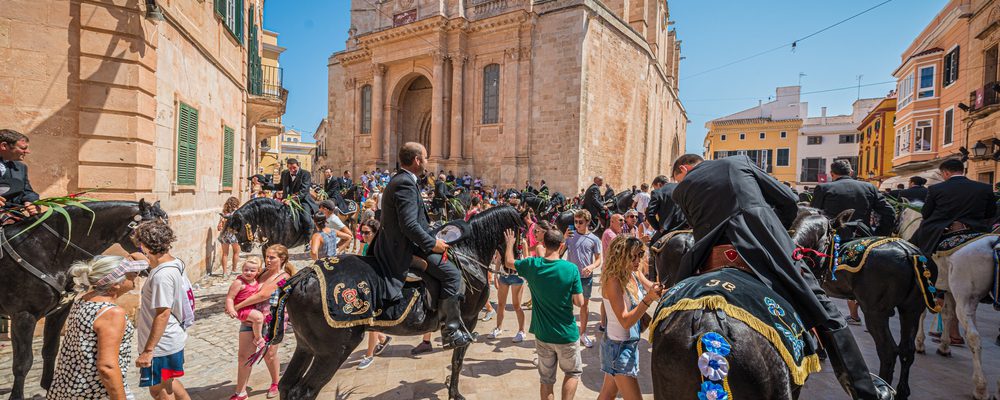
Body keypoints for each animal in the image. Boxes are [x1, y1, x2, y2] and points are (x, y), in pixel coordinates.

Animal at [0, 200, 168, 400]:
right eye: (149, 233)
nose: (157, 264)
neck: (46, 251)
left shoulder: (59, 312)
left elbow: (50, 350)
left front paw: (49, 386)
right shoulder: (24, 316)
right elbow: (22, 362)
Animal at [274, 206, 524, 400]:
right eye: (520, 231)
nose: (512, 266)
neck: (468, 254)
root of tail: (303, 277)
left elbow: (457, 360)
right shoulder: (468, 320)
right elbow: (458, 360)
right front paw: (455, 393)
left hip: (306, 346)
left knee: (287, 385)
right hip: (333, 350)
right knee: (303, 392)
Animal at [788, 208, 928, 398]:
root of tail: (908, 252)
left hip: (875, 313)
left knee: (888, 351)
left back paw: (884, 387)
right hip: (910, 310)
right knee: (907, 350)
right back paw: (901, 391)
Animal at [900, 203, 1000, 400]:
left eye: (901, 216)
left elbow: (923, 314)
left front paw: (919, 343)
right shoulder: (947, 290)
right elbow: (947, 315)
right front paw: (945, 346)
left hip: (966, 299)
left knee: (973, 337)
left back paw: (980, 387)